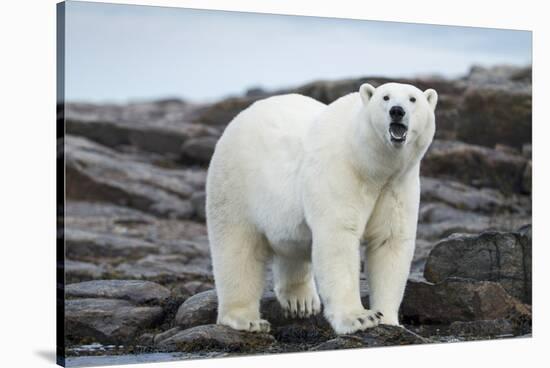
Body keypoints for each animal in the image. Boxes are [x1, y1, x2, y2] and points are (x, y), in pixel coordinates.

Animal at [207, 82, 440, 334]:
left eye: (413, 99)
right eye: (385, 97)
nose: (397, 111)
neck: (369, 164)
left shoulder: (397, 185)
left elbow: (389, 241)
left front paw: (388, 319)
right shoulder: (341, 172)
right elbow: (338, 238)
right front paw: (359, 318)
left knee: (292, 247)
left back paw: (301, 301)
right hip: (235, 185)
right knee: (237, 249)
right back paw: (246, 319)